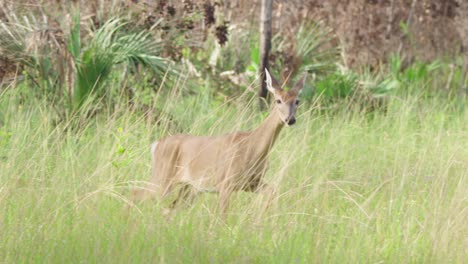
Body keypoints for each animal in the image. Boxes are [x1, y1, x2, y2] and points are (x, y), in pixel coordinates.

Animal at [133, 68, 308, 217]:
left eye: (297, 101)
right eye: (278, 100)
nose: (290, 119)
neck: (253, 147)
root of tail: (156, 145)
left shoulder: (252, 182)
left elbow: (272, 190)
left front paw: (259, 220)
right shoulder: (226, 182)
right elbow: (223, 216)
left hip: (188, 187)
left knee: (168, 209)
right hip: (163, 178)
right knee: (134, 193)